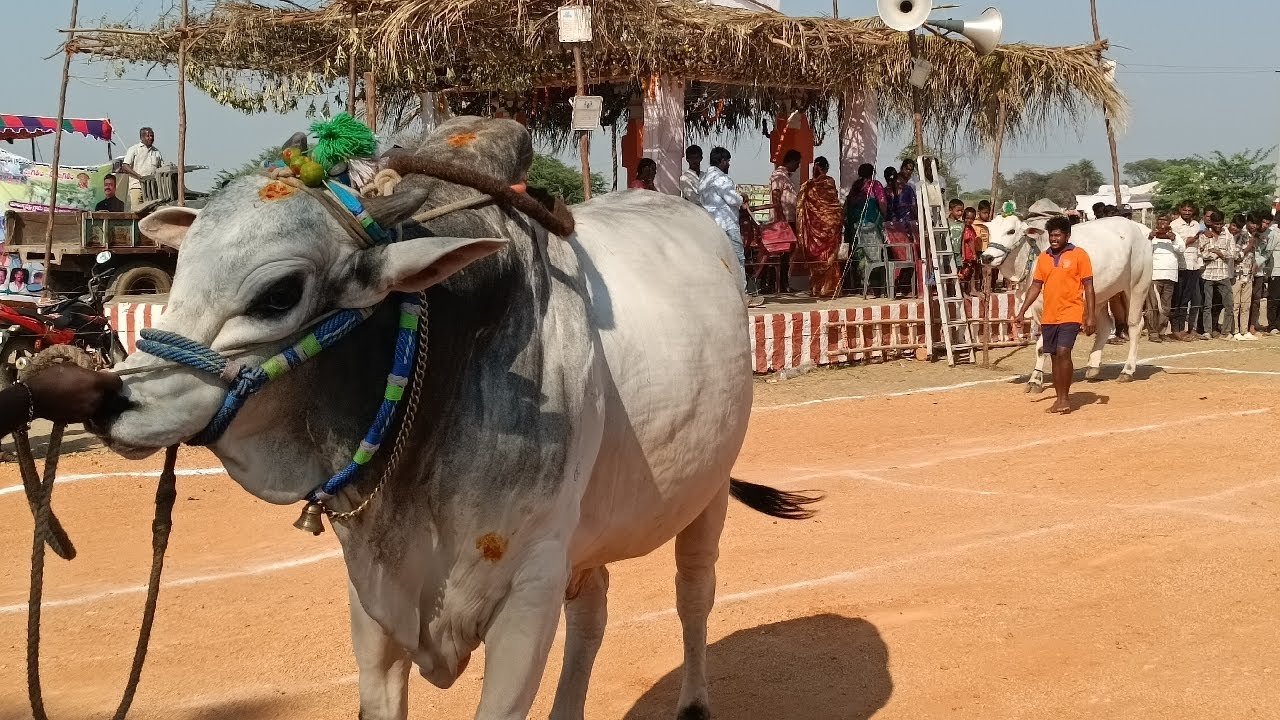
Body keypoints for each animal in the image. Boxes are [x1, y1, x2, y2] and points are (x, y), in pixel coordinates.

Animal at [91, 117, 817, 720]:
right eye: (182, 265)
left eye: (279, 293)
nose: (114, 400)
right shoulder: (373, 597)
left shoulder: (529, 589)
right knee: (593, 612)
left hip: (706, 493)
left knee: (694, 594)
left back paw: (694, 699)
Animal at [979, 212, 1154, 390]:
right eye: (989, 231)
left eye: (1011, 231)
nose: (987, 257)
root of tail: (1139, 229)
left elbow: (1042, 347)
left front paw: (1035, 379)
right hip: (1100, 295)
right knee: (1105, 326)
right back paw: (1093, 366)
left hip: (1137, 286)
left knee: (1135, 325)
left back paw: (1127, 370)